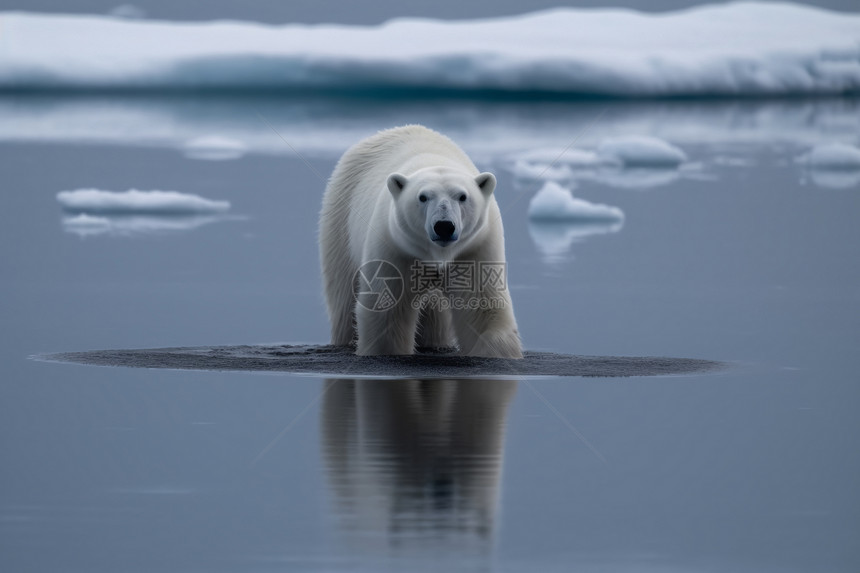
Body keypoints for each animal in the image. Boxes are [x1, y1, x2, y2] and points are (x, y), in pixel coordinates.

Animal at [320, 125, 524, 358]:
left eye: (462, 196)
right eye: (423, 197)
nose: (444, 226)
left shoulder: (474, 249)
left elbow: (481, 307)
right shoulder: (395, 249)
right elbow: (388, 310)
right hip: (340, 219)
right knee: (343, 293)